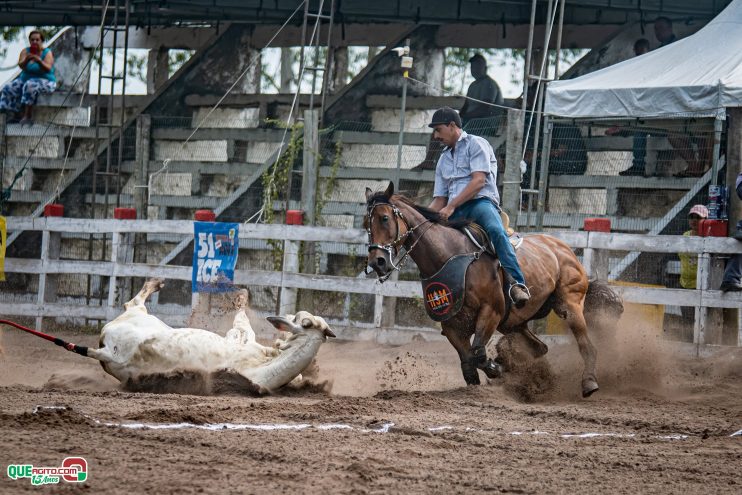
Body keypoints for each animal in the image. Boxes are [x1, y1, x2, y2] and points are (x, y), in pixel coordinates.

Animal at [83, 280, 336, 396]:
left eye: (302, 320)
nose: (276, 317)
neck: (260, 370)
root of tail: (106, 350)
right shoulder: (243, 341)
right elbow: (241, 325)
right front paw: (241, 298)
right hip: (142, 318)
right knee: (133, 301)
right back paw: (155, 283)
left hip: (137, 321)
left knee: (132, 302)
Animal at [366, 183, 620, 400]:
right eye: (366, 225)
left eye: (385, 218)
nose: (377, 262)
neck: (450, 256)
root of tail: (563, 248)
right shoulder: (451, 324)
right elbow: (468, 363)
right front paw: (492, 372)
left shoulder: (491, 311)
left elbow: (478, 353)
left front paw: (496, 368)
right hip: (514, 322)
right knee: (540, 348)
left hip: (569, 304)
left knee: (587, 346)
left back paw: (589, 383)